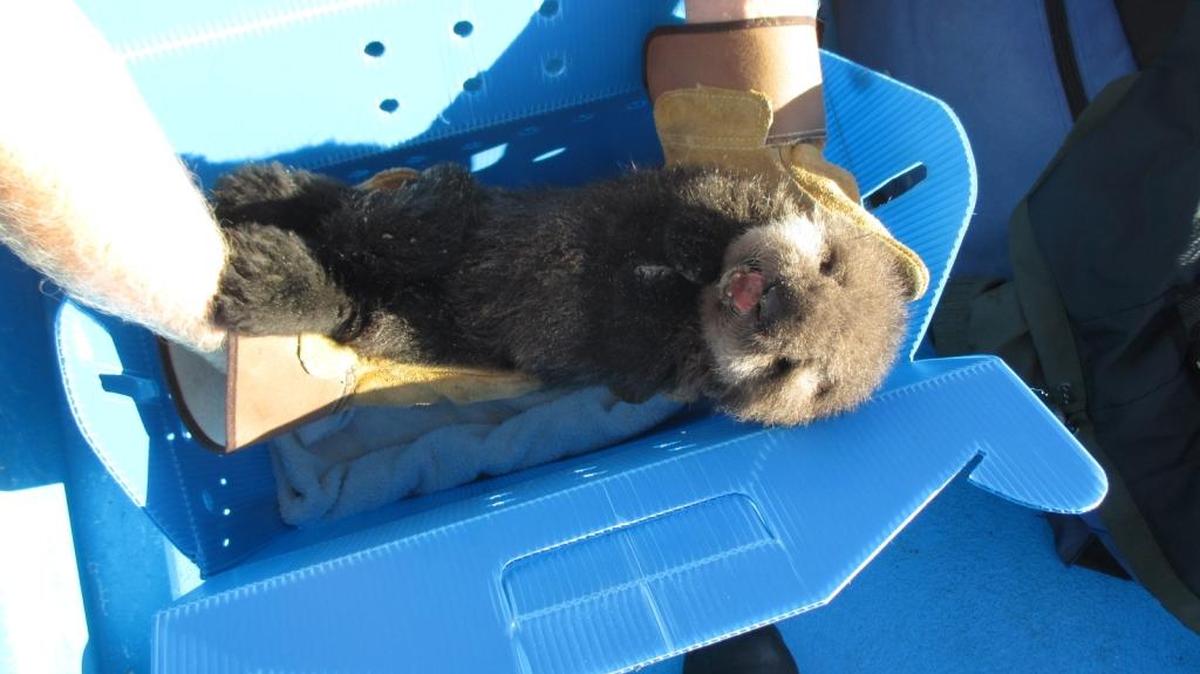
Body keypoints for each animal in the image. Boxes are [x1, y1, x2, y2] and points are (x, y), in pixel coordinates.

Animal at [211, 161, 909, 425]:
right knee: (372, 213)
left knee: (352, 292)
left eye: (793, 368)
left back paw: (270, 272)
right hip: (455, 214)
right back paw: (266, 187)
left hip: (410, 319)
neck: (690, 305)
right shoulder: (686, 188)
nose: (770, 301)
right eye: (830, 266)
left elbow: (638, 359)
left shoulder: (651, 369)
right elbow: (707, 197)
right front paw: (694, 245)